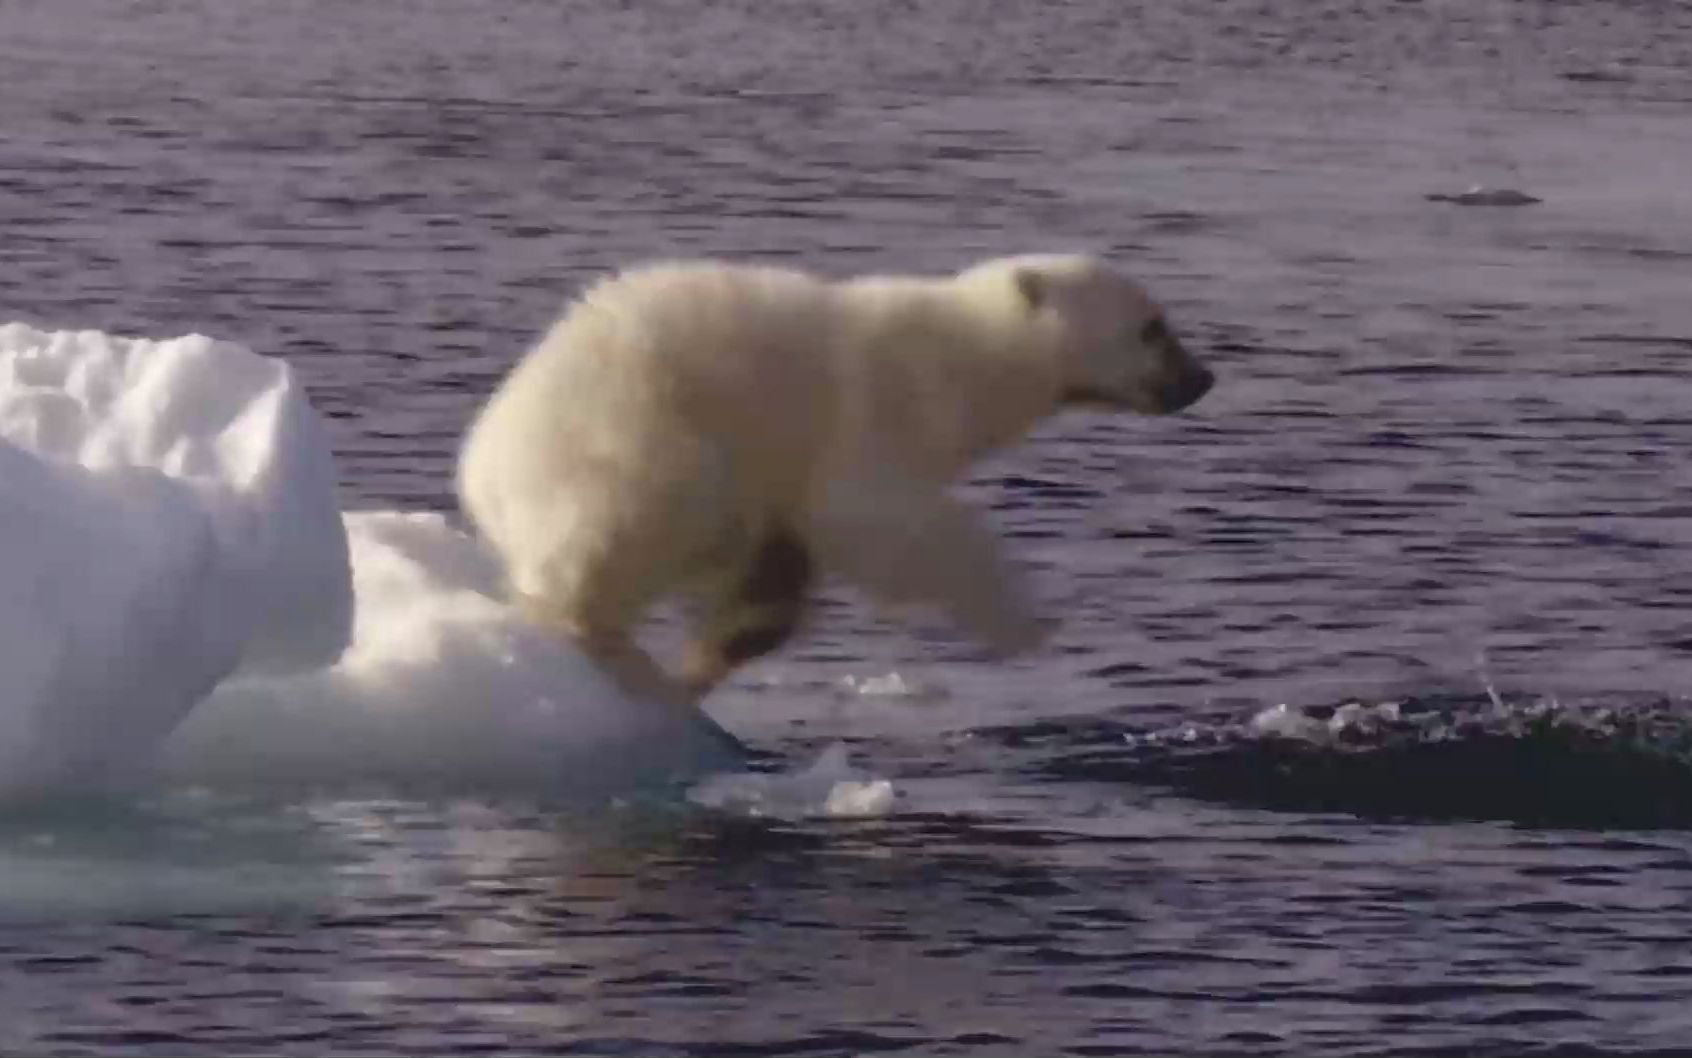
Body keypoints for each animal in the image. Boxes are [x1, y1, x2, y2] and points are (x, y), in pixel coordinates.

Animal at [456, 252, 1211, 704]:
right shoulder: (872, 417)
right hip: (638, 439)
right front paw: (1025, 619)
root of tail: (482, 467)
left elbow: (776, 577)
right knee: (621, 533)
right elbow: (882, 521)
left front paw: (712, 655)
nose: (1202, 379)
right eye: (1152, 327)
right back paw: (613, 649)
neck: (965, 363)